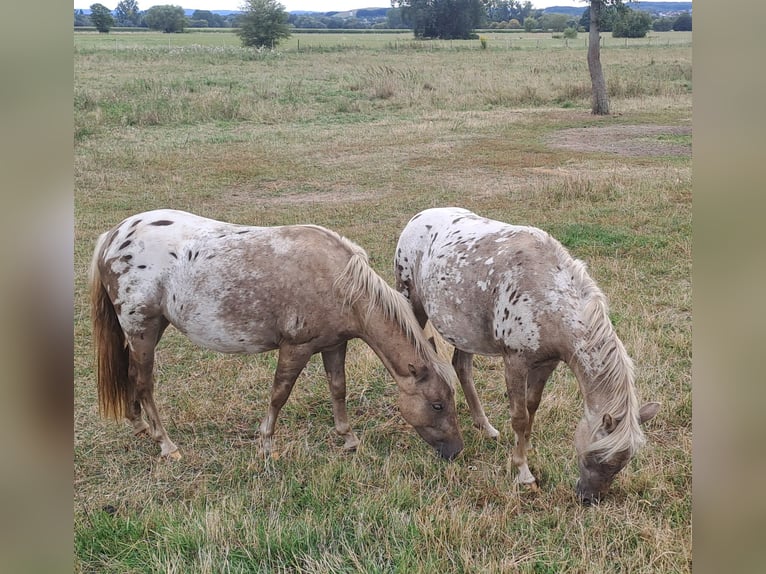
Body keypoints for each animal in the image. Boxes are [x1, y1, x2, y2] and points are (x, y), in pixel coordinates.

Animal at [89, 209, 464, 462]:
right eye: (437, 404)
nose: (456, 450)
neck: (340, 281)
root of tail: (114, 235)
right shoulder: (296, 348)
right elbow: (279, 395)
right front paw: (266, 444)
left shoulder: (334, 345)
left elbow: (338, 390)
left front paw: (349, 439)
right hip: (143, 331)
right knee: (143, 383)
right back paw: (166, 444)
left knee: (131, 376)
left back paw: (140, 427)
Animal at [394, 207, 659, 504]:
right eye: (598, 457)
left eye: (622, 464)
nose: (588, 498)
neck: (547, 296)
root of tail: (417, 218)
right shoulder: (515, 362)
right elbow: (519, 417)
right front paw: (523, 472)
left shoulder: (546, 364)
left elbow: (532, 408)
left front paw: (524, 451)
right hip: (413, 304)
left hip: (464, 330)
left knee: (461, 368)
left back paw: (485, 427)